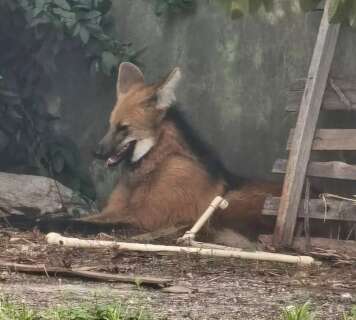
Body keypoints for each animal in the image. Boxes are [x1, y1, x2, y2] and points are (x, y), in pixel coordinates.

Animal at [85, 62, 280, 238]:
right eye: (111, 126)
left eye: (124, 128)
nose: (96, 152)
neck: (155, 161)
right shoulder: (116, 210)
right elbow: (89, 217)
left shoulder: (146, 217)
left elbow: (85, 223)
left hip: (226, 205)